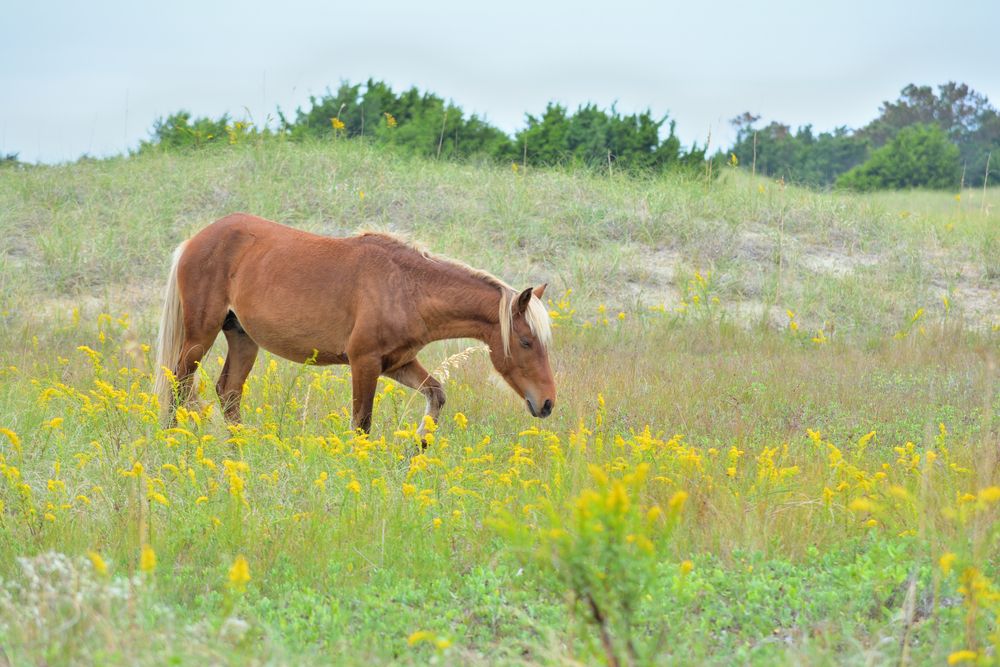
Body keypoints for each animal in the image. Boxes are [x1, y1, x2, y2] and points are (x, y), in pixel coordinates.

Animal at [153, 213, 556, 437]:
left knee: (228, 392)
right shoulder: (364, 363)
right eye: (525, 342)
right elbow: (361, 424)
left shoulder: (398, 363)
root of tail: (194, 241)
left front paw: (419, 445)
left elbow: (436, 395)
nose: (548, 403)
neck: (406, 286)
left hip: (242, 338)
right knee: (179, 383)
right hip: (200, 335)